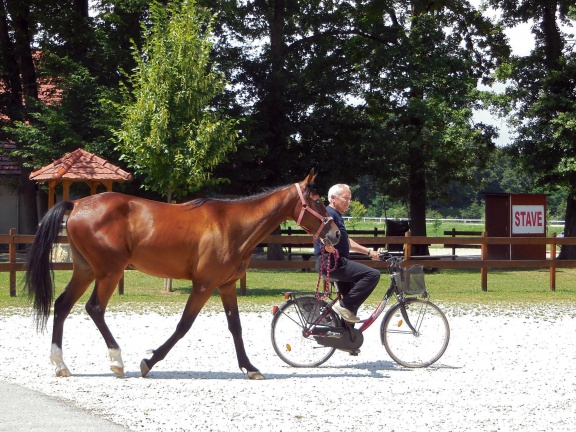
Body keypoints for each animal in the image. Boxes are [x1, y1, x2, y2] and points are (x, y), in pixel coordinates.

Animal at [24, 169, 340, 378]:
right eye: (317, 202)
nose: (336, 234)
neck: (233, 225)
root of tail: (78, 204)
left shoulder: (226, 286)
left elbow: (235, 327)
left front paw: (250, 368)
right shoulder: (203, 286)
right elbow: (183, 326)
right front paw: (149, 362)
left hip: (86, 271)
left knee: (62, 306)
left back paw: (61, 364)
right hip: (109, 273)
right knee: (95, 308)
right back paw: (117, 361)